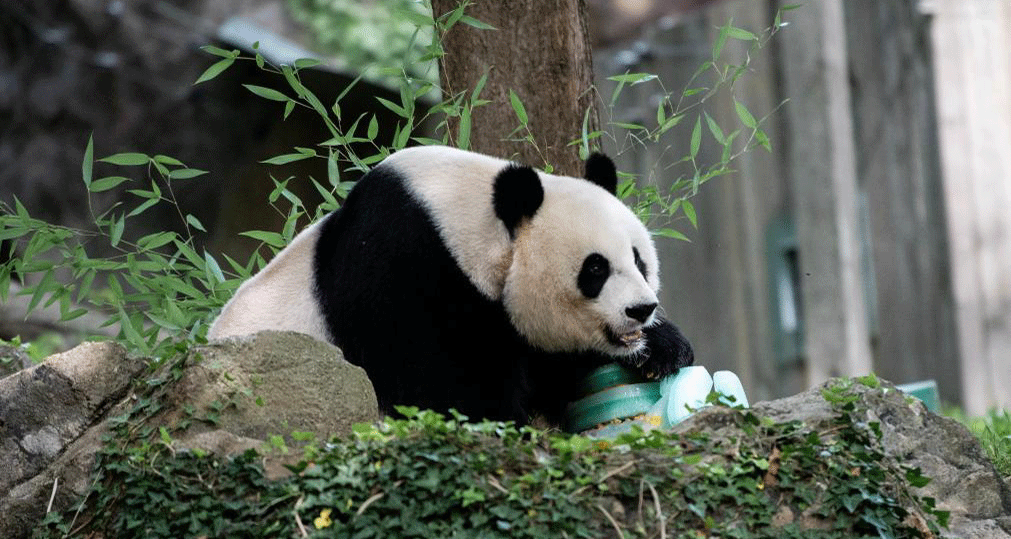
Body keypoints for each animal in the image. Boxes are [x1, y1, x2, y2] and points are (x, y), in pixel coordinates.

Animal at [208, 144, 691, 426]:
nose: (641, 309)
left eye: (638, 260)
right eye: (595, 270)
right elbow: (437, 388)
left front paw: (663, 350)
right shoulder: (401, 268)